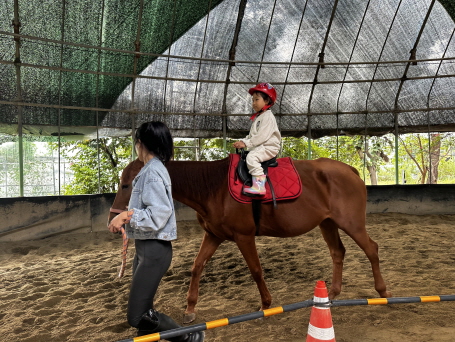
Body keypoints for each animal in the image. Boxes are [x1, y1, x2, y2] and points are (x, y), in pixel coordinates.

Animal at [108, 156, 392, 322]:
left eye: (128, 184)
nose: (113, 218)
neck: (214, 187)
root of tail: (350, 170)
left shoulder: (244, 237)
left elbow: (255, 270)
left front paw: (266, 304)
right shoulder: (213, 236)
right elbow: (197, 267)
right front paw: (190, 309)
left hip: (351, 223)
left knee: (372, 249)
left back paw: (382, 292)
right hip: (328, 223)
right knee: (337, 252)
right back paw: (331, 293)